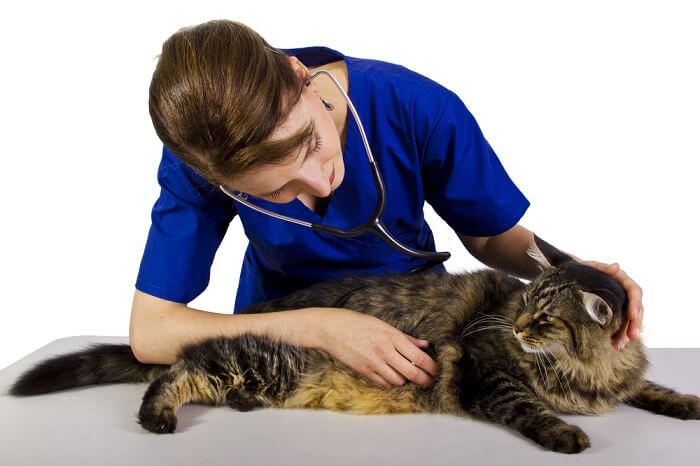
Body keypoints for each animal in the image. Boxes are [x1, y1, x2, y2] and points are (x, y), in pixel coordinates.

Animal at [6, 235, 700, 454]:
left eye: (546, 317)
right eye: (526, 306)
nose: (517, 328)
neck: (582, 374)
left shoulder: (624, 378)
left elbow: (652, 386)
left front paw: (686, 403)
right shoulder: (488, 374)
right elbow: (529, 407)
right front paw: (566, 433)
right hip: (262, 359)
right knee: (176, 369)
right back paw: (157, 418)